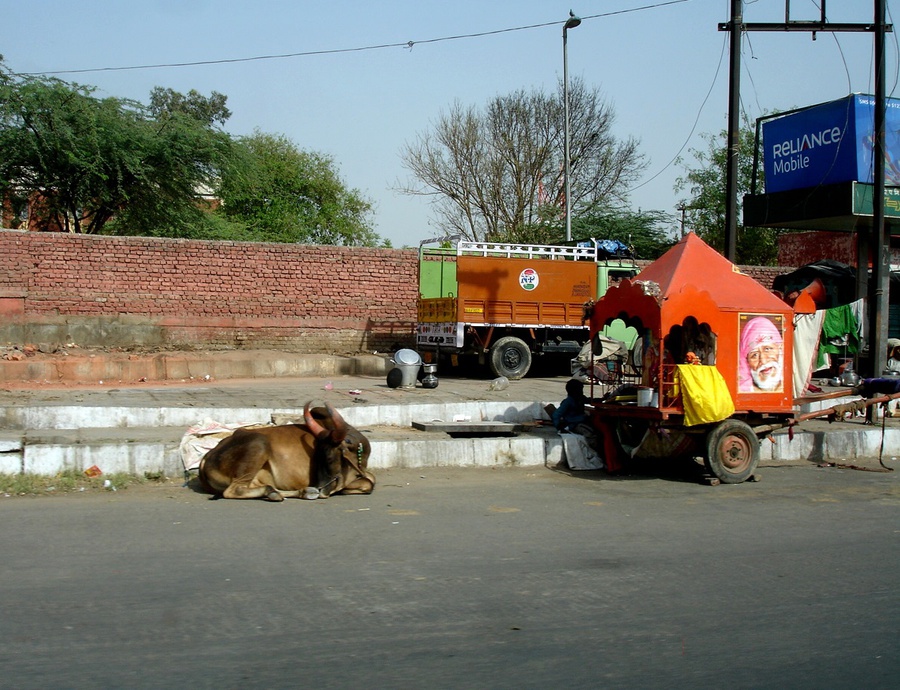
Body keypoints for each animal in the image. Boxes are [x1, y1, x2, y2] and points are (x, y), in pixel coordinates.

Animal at [199, 398, 374, 500]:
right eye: (320, 457)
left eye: (329, 458)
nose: (321, 490)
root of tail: (207, 456)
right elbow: (369, 482)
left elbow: (369, 481)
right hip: (259, 444)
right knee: (233, 491)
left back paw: (302, 492)